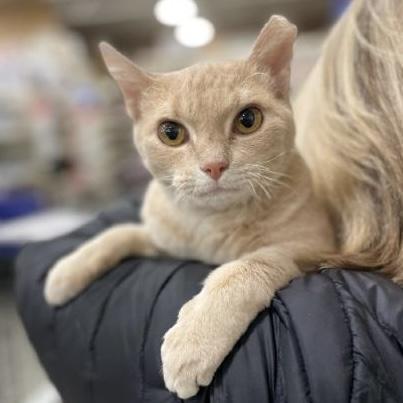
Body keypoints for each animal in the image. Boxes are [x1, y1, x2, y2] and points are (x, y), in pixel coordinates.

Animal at [44, 16, 336, 400]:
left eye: (248, 120)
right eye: (171, 132)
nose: (214, 166)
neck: (212, 222)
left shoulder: (313, 246)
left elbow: (244, 267)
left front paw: (194, 341)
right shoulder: (164, 240)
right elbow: (122, 232)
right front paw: (68, 269)